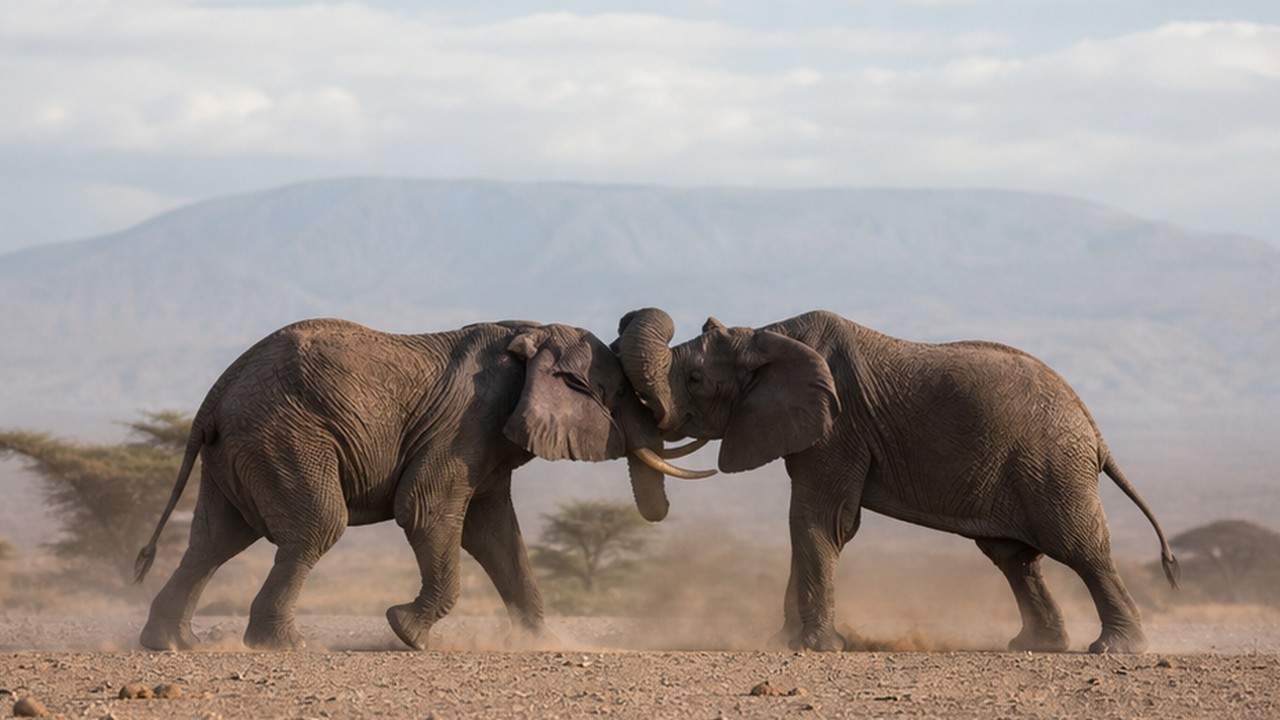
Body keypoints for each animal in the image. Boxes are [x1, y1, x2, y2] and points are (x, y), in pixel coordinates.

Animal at [135, 318, 713, 651]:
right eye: (618, 392)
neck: (530, 330)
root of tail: (216, 393)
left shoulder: (486, 436)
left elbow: (494, 534)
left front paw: (543, 643)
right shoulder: (467, 421)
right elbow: (427, 511)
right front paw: (405, 633)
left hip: (240, 448)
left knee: (215, 541)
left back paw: (174, 644)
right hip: (284, 436)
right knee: (315, 527)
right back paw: (284, 647)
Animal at [614, 308, 1178, 654]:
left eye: (694, 380)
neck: (767, 334)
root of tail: (1095, 430)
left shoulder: (839, 427)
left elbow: (822, 522)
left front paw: (816, 648)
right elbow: (809, 524)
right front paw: (785, 642)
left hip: (1052, 466)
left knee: (1080, 548)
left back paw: (1114, 650)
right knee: (1014, 557)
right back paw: (1036, 647)